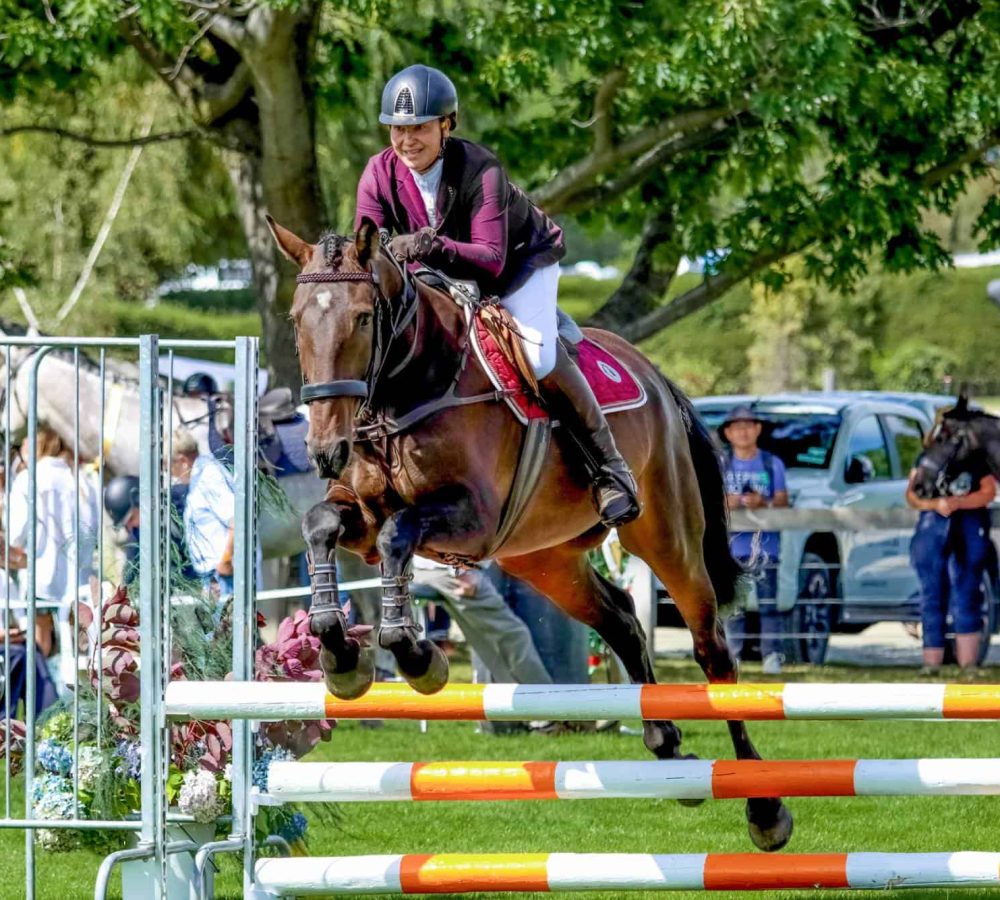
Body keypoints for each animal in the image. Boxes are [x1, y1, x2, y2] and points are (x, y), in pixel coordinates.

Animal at [268, 216, 793, 852]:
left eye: (365, 318)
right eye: (298, 319)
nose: (325, 450)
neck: (411, 384)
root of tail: (652, 373)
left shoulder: (473, 518)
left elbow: (398, 534)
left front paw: (414, 655)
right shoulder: (361, 515)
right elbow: (323, 524)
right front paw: (340, 653)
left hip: (665, 536)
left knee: (711, 649)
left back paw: (764, 807)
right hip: (544, 558)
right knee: (620, 618)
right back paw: (667, 748)